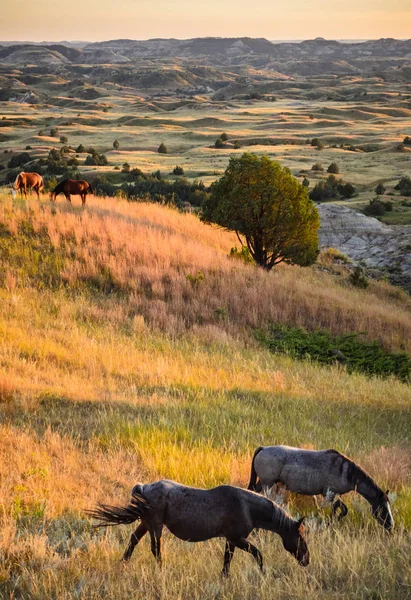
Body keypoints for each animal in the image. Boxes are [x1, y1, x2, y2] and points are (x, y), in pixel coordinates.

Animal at [88, 478, 310, 576]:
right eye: (300, 537)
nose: (306, 560)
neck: (247, 507)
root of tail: (144, 487)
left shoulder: (231, 540)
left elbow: (227, 560)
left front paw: (224, 577)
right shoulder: (237, 539)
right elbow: (258, 554)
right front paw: (262, 573)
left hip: (146, 523)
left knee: (133, 541)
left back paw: (122, 565)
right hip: (155, 525)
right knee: (156, 548)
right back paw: (161, 571)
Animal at [246, 446, 394, 528]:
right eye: (382, 508)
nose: (390, 525)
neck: (345, 471)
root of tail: (263, 448)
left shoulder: (334, 495)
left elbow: (340, 508)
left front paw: (332, 520)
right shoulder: (330, 494)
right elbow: (341, 509)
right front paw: (332, 520)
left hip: (264, 483)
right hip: (268, 484)